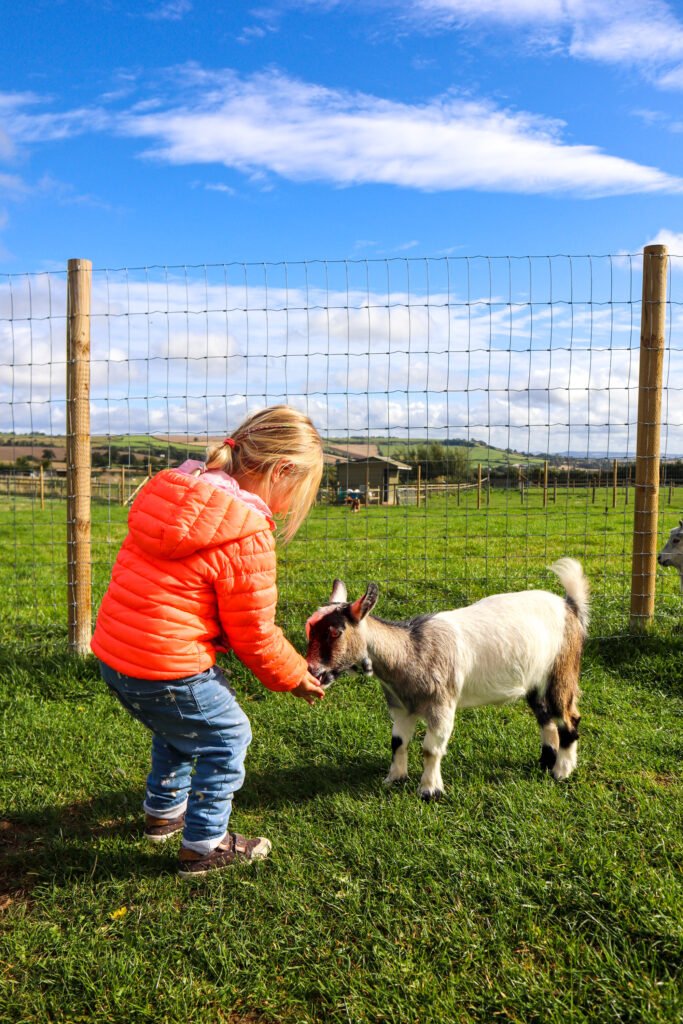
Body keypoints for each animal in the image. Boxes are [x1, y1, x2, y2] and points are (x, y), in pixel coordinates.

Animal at [307, 561, 589, 798]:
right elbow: (397, 743)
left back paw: (562, 771)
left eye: (336, 631)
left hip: (562, 669)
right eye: (309, 627)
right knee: (545, 718)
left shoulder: (441, 705)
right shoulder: (401, 707)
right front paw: (394, 779)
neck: (411, 651)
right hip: (535, 682)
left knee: (568, 717)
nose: (312, 671)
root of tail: (570, 607)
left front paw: (429, 791)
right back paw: (545, 761)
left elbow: (430, 749)